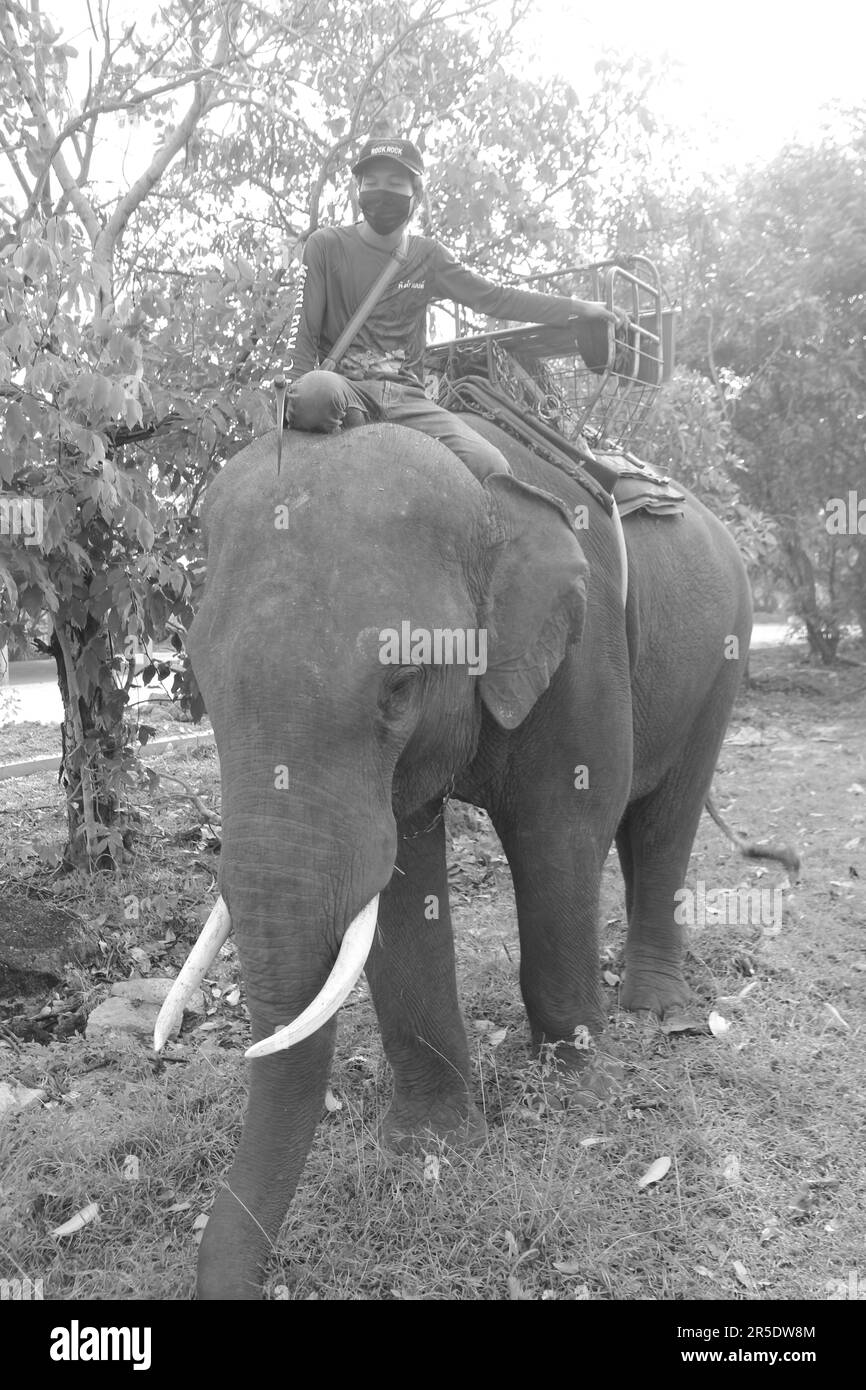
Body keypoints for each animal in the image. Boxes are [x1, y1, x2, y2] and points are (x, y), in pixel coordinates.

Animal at [159, 408, 756, 1289]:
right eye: (200, 679)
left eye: (400, 687)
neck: (484, 495)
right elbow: (399, 878)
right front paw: (430, 1149)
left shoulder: (585, 651)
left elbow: (563, 826)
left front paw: (579, 1092)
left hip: (724, 657)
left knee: (662, 816)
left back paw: (660, 1015)